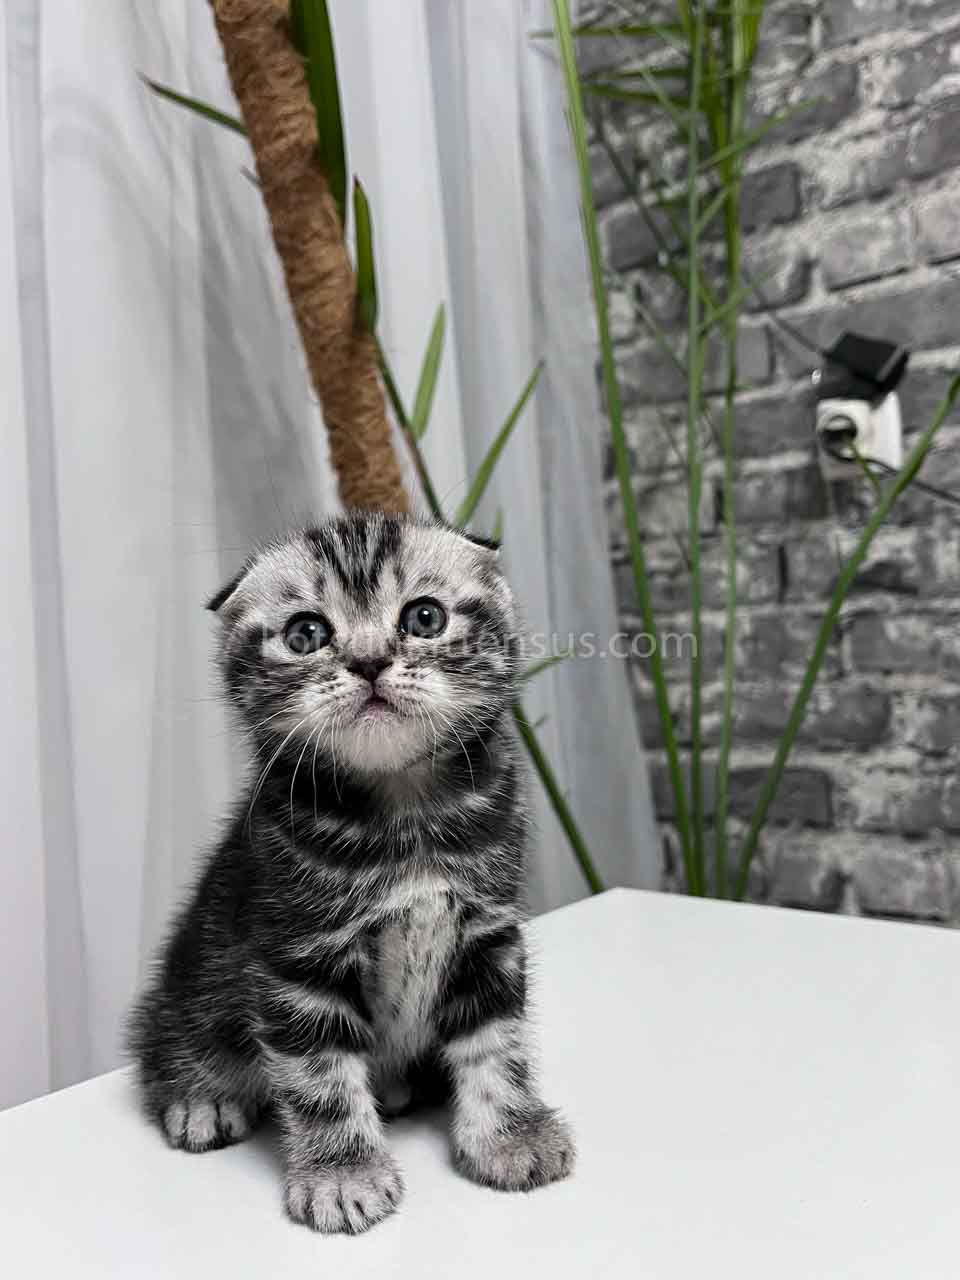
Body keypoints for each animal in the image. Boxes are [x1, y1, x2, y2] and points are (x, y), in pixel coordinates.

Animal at [127, 511, 575, 1234]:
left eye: (424, 618)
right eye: (307, 634)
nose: (368, 662)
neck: (403, 812)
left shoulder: (488, 933)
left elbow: (495, 1044)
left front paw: (510, 1136)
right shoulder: (297, 957)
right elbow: (321, 1077)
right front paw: (342, 1175)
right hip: (190, 980)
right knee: (168, 1040)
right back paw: (200, 1098)